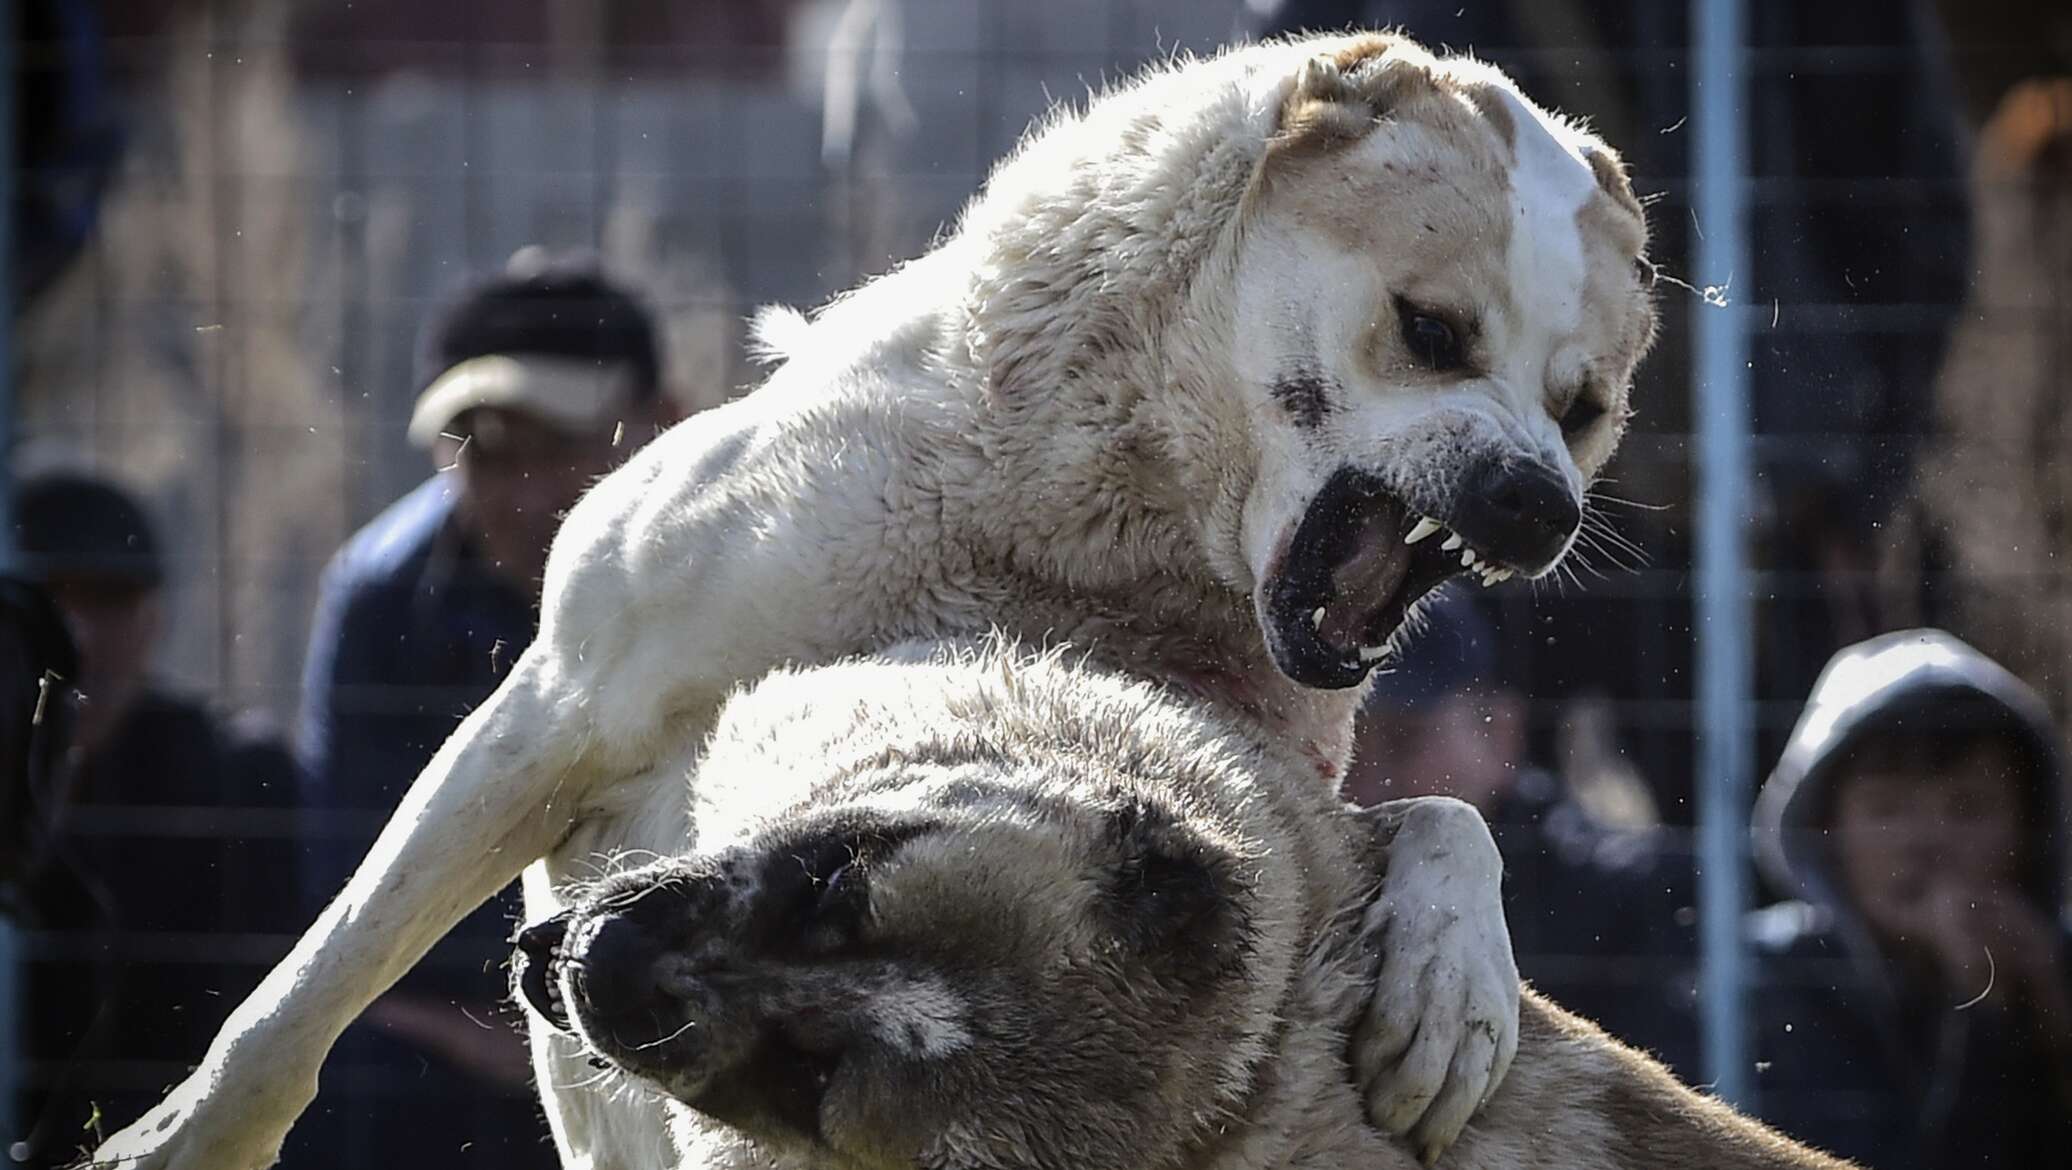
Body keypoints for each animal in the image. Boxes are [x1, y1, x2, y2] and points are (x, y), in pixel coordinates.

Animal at [93, 29, 1649, 1167]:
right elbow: (317, 980)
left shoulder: (1211, 791)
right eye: (1431, 331)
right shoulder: (555, 714)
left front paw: (1452, 986)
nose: (1535, 505)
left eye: (1584, 410)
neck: (1085, 537)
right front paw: (188, 1137)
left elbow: (1442, 819)